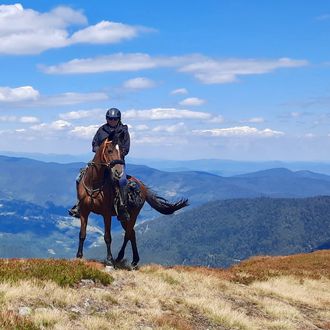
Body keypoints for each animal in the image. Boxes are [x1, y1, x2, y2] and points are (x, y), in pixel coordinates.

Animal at [75, 137, 188, 268]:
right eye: (109, 150)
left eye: (122, 152)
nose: (118, 171)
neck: (94, 184)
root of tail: (142, 186)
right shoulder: (84, 211)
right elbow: (82, 234)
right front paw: (79, 256)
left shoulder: (106, 214)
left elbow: (107, 236)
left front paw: (109, 260)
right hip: (123, 218)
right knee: (132, 233)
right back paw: (134, 260)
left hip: (133, 215)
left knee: (128, 234)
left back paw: (119, 257)